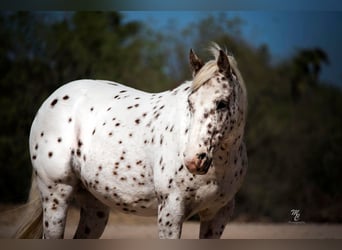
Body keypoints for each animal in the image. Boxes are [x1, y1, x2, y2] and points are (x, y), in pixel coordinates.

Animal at [14, 44, 247, 239]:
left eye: (222, 103)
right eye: (190, 103)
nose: (193, 161)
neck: (220, 165)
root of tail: (51, 100)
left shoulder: (217, 216)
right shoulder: (171, 211)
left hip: (94, 208)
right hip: (56, 196)